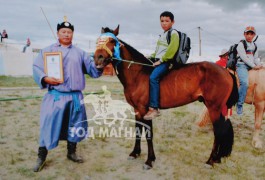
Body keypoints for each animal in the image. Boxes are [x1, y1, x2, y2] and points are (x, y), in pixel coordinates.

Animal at [93, 25, 237, 169]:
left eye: (112, 41)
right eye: (98, 40)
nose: (98, 58)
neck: (138, 74)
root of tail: (226, 71)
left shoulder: (145, 110)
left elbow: (148, 133)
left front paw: (149, 160)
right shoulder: (137, 109)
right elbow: (138, 130)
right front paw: (135, 153)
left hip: (214, 108)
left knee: (218, 132)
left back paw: (210, 161)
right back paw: (217, 158)